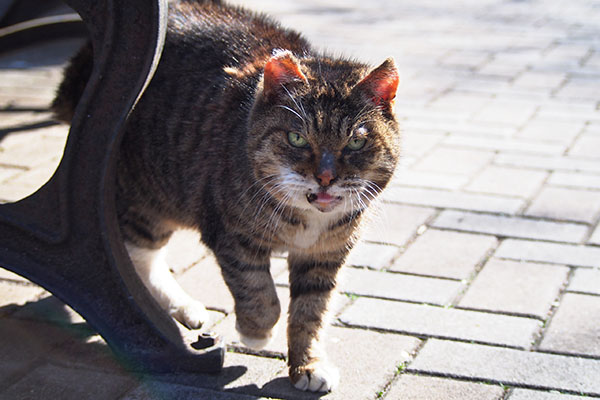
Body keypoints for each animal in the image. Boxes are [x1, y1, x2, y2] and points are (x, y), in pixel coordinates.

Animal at [51, 0, 398, 394]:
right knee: (133, 253)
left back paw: (181, 307)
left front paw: (308, 364)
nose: (326, 177)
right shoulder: (233, 237)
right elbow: (259, 293)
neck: (307, 220)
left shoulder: (324, 257)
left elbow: (311, 314)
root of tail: (84, 59)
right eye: (296, 138)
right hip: (145, 194)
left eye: (356, 142)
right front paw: (256, 333)